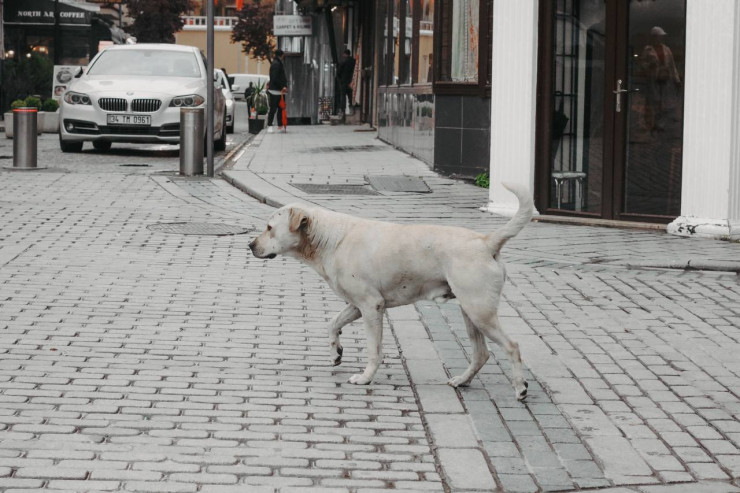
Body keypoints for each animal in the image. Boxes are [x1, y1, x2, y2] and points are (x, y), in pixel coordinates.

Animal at [249, 182, 534, 400]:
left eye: (269, 228)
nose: (250, 245)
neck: (330, 239)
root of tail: (486, 241)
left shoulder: (371, 306)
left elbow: (374, 350)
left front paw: (365, 378)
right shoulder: (356, 305)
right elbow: (333, 324)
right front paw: (335, 352)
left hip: (479, 311)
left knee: (512, 346)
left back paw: (520, 388)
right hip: (470, 313)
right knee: (481, 354)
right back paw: (463, 380)